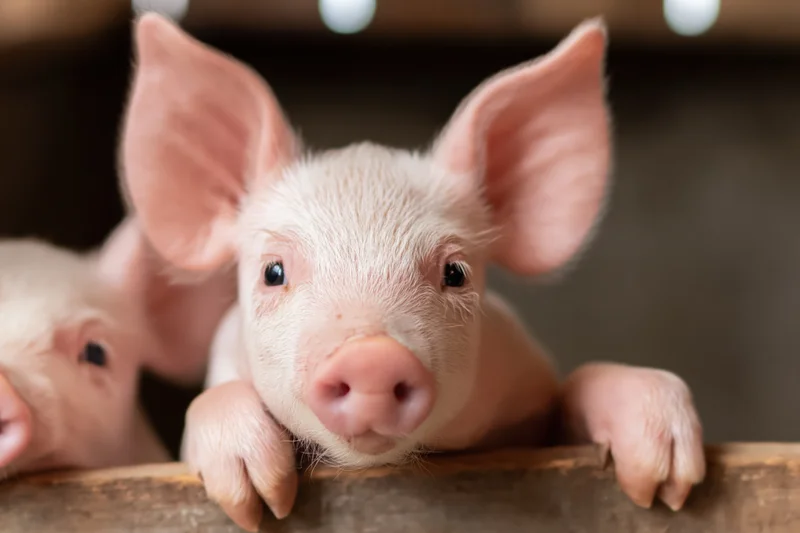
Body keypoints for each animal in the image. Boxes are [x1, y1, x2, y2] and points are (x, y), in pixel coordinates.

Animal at [118, 13, 706, 531]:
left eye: (456, 272)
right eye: (274, 272)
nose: (370, 357)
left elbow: (578, 385)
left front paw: (666, 483)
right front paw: (260, 501)